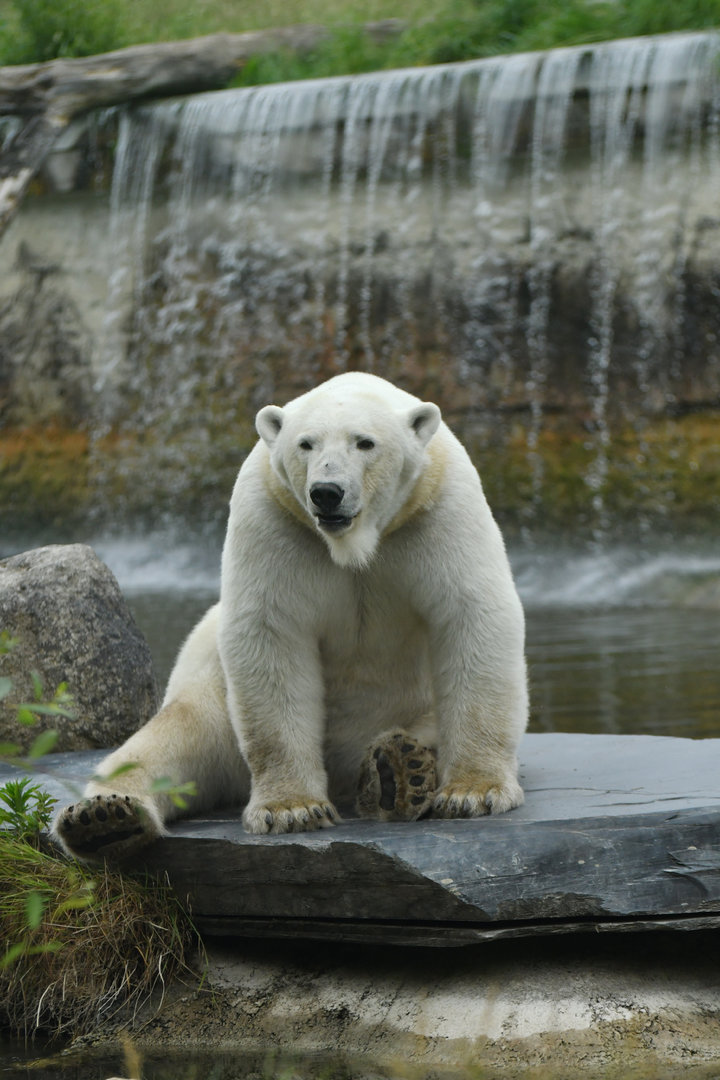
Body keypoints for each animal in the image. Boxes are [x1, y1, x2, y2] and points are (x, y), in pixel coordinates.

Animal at [53, 372, 528, 860]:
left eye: (365, 442)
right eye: (306, 443)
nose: (327, 492)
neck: (352, 542)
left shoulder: (436, 508)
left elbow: (471, 614)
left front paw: (473, 792)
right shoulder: (275, 519)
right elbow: (271, 633)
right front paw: (293, 808)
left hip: (418, 708)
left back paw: (400, 769)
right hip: (216, 701)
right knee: (172, 740)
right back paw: (104, 818)